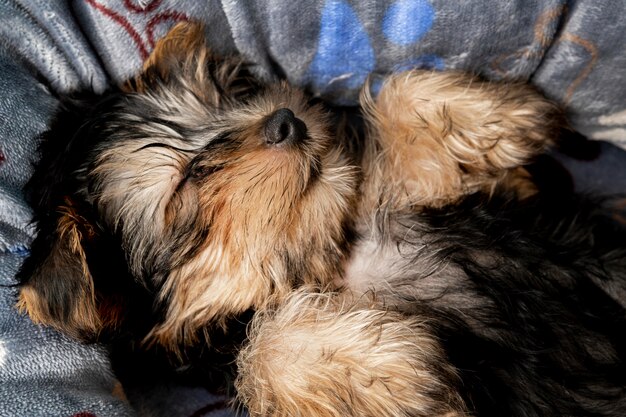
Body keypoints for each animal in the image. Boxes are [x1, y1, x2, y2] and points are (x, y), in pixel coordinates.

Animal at [15, 22, 624, 416]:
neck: (328, 259)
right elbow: (261, 347)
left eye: (225, 96)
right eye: (187, 180)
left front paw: (508, 113)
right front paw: (397, 376)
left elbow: (401, 101)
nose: (286, 121)